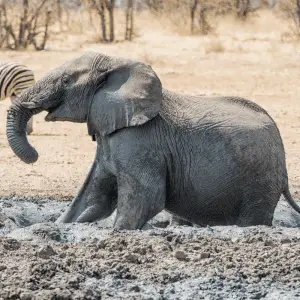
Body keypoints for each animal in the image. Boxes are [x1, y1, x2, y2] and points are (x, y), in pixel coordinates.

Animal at [4, 51, 300, 230]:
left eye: (66, 81)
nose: (35, 154)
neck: (115, 64)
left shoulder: (140, 142)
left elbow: (147, 198)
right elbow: (93, 199)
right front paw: (56, 226)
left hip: (260, 179)